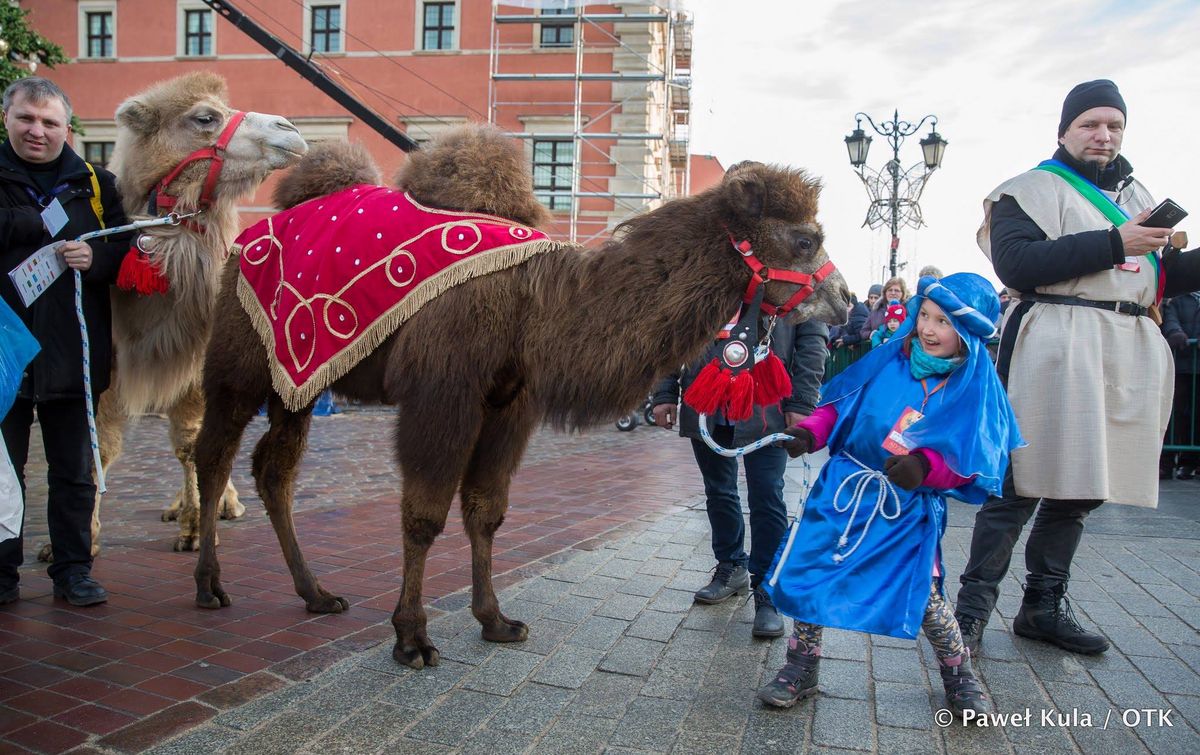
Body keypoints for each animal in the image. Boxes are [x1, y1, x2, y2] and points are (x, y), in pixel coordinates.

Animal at [50, 72, 304, 554]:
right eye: (205, 118)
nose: (291, 129)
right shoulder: (110, 356)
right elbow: (100, 446)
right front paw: (78, 540)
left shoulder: (197, 354)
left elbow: (190, 443)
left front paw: (194, 529)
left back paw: (222, 503)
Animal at [189, 122, 854, 667]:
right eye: (804, 239)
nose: (845, 300)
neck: (535, 304)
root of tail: (246, 237)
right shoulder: (444, 393)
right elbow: (424, 515)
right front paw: (412, 638)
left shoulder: (510, 405)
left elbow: (487, 510)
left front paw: (496, 620)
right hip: (239, 361)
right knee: (214, 456)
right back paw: (209, 585)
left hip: (299, 379)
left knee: (273, 468)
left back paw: (316, 593)